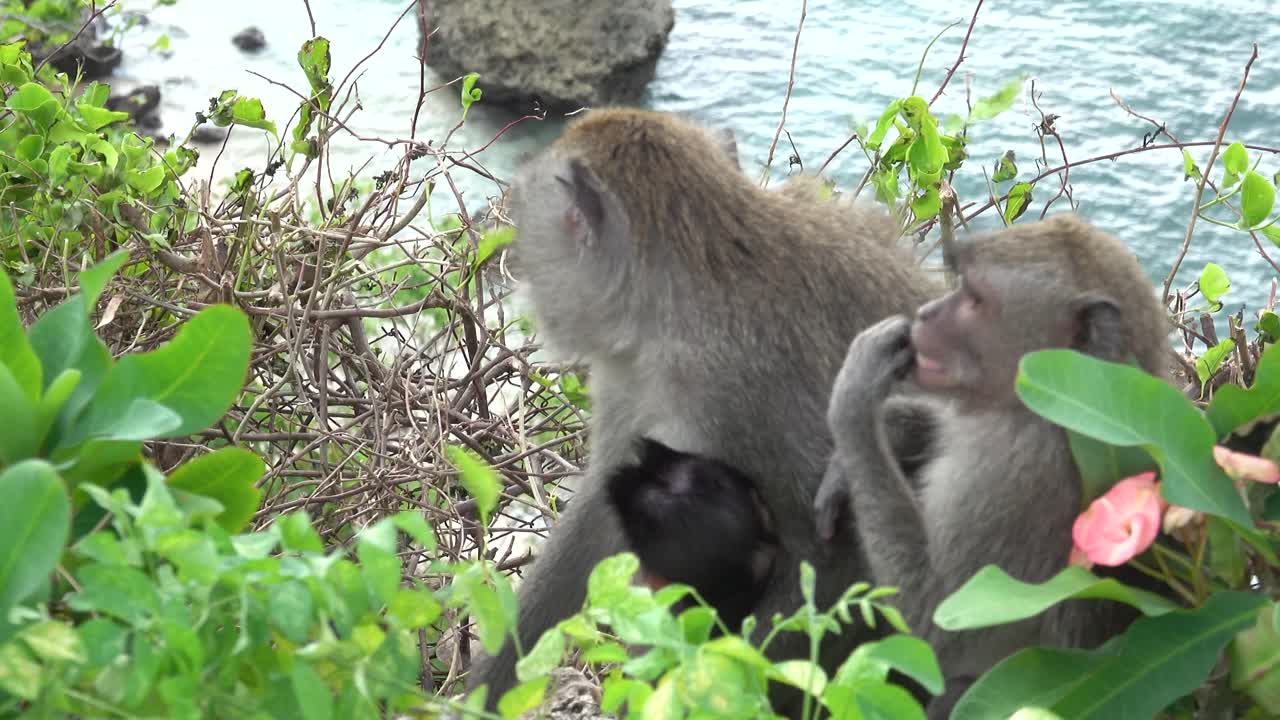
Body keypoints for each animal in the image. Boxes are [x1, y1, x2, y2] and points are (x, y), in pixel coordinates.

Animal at [812, 213, 1174, 718]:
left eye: (974, 298)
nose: (925, 314)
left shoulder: (1011, 472)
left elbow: (943, 628)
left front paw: (855, 401)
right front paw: (871, 444)